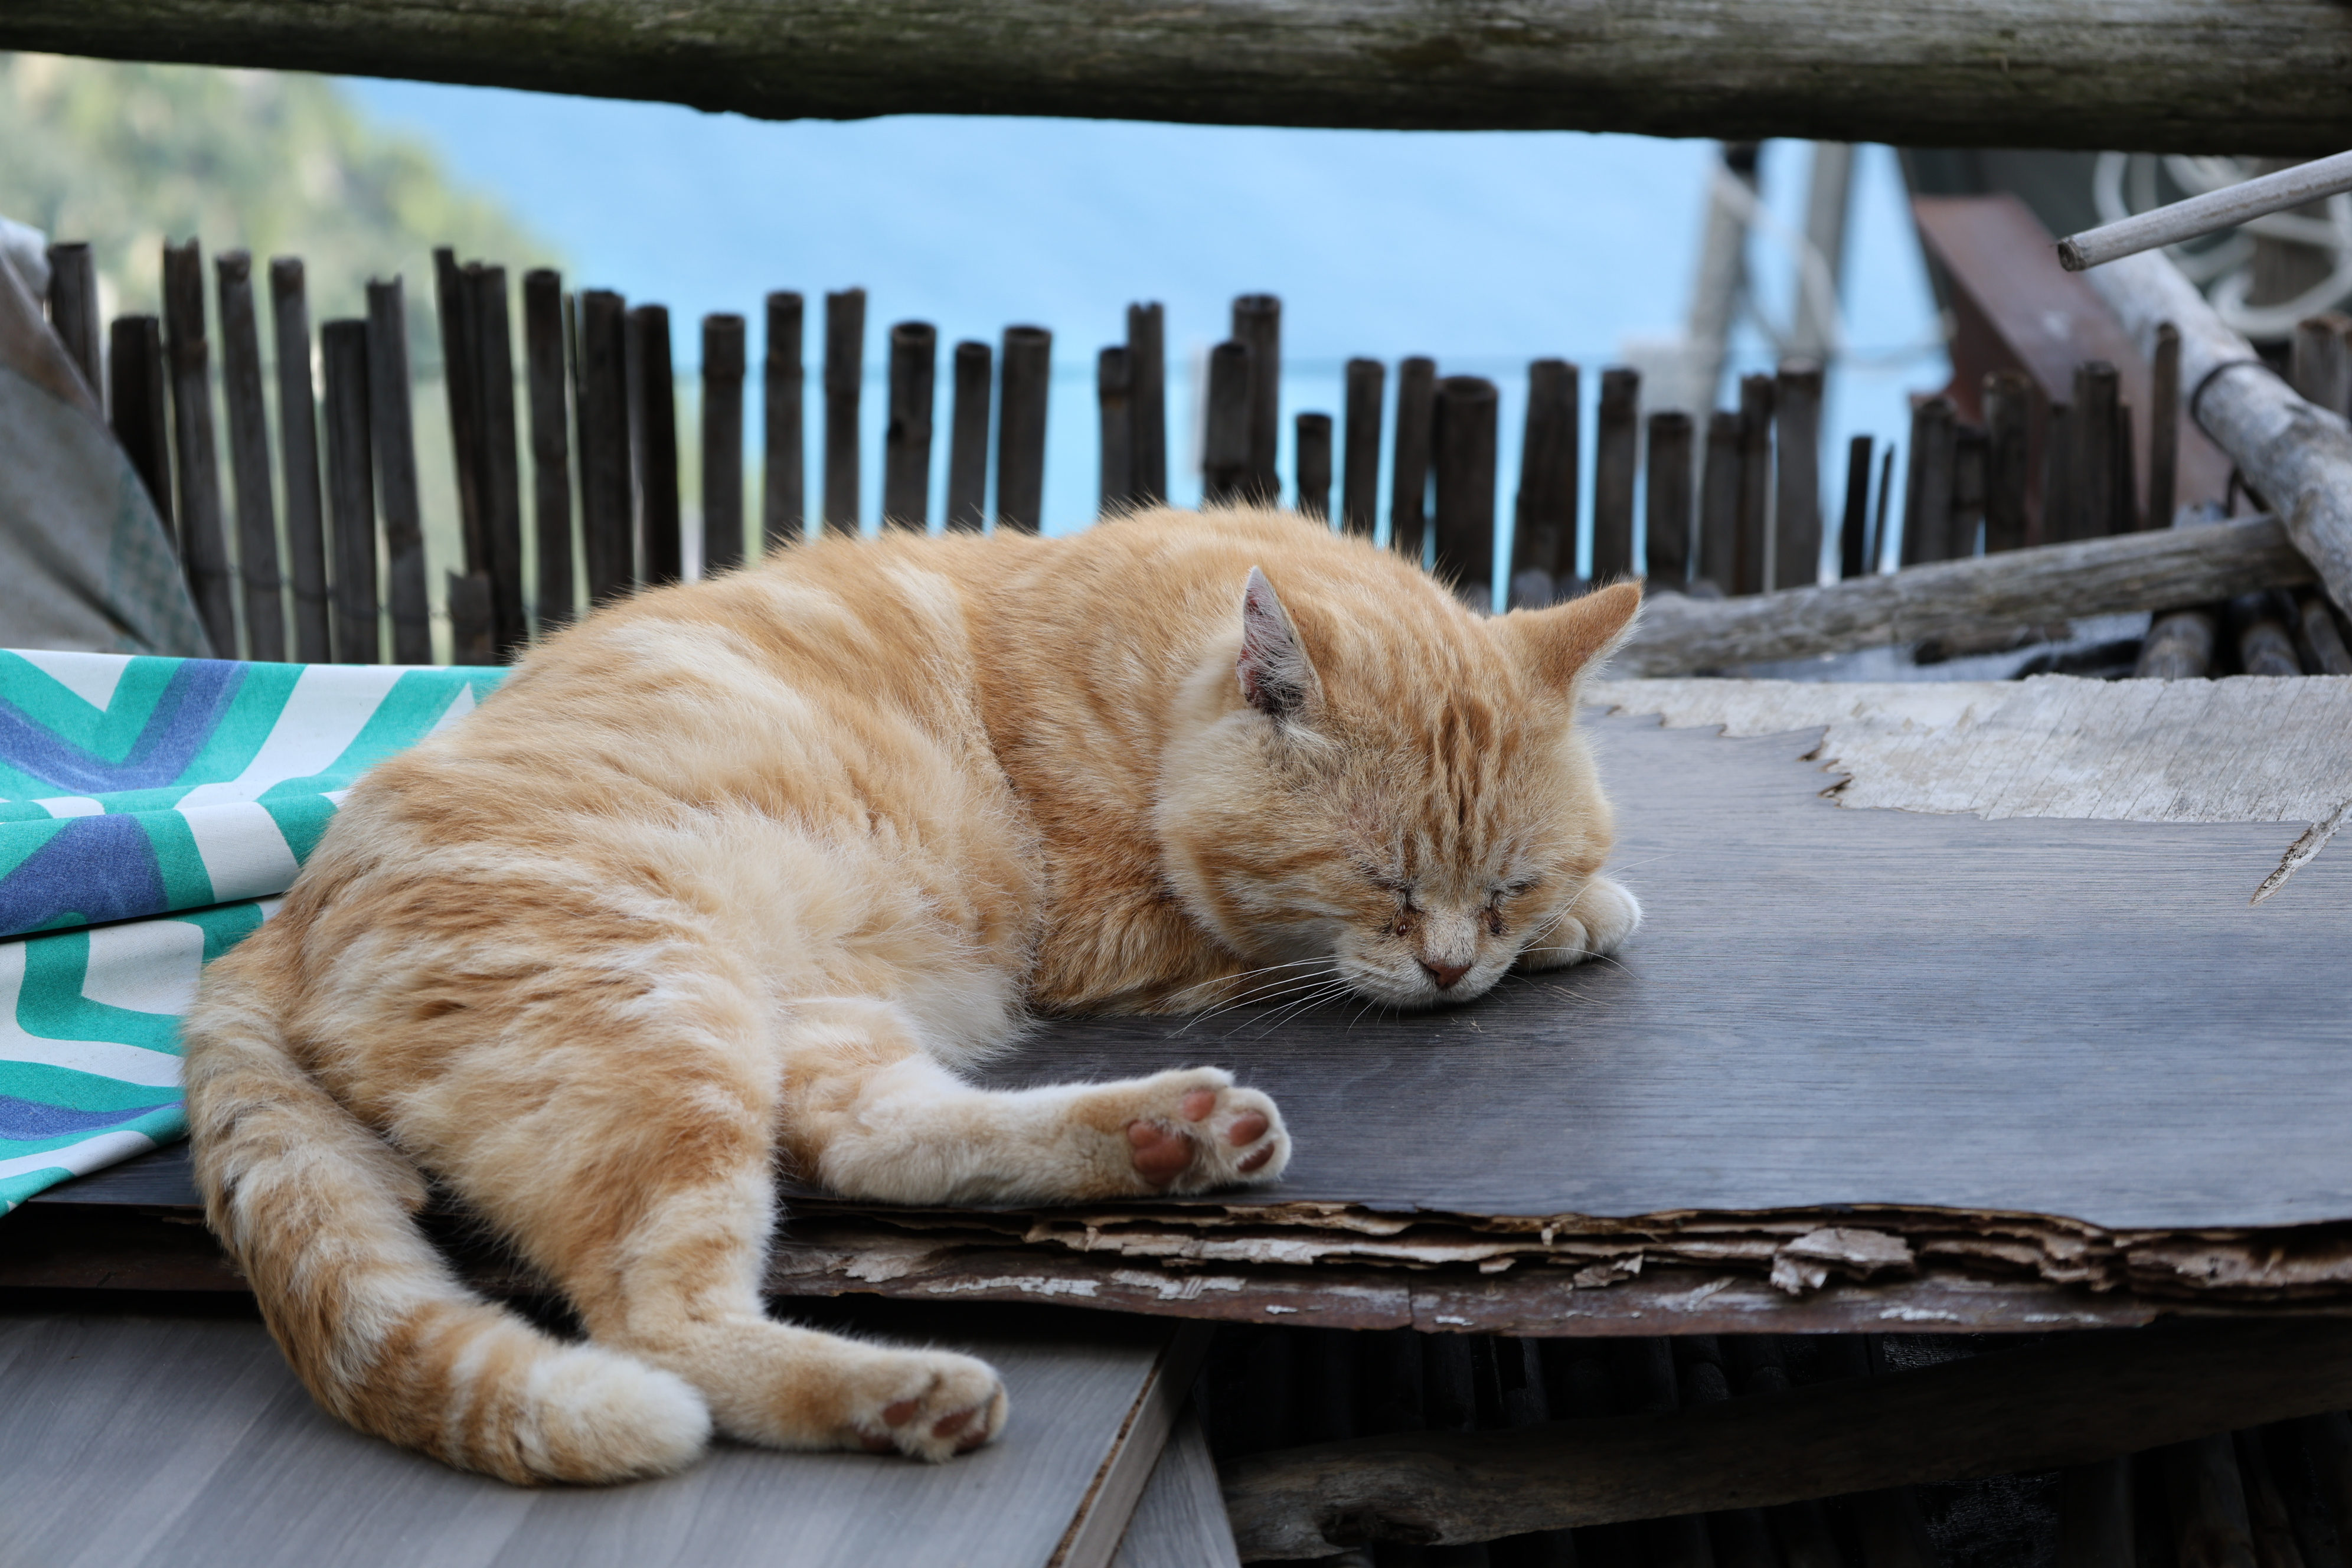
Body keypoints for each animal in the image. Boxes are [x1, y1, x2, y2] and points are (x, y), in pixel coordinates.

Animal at [178, 505, 1636, 1485]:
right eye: (1382, 884)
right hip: (658, 1014)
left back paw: (1167, 1136)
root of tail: (270, 926)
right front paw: (1582, 919)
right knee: (666, 1320)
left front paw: (1571, 912)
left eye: (1499, 882)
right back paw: (902, 1389)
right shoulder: (1122, 935)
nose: (1451, 966)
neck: (1137, 665)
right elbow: (1265, 951)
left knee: (868, 1142)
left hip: (808, 1014)